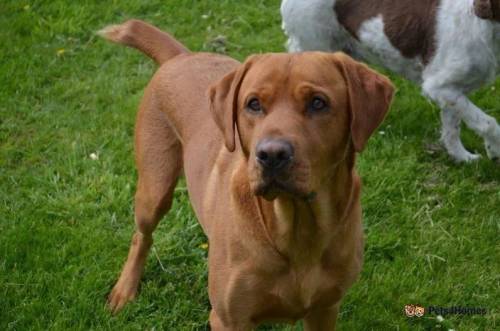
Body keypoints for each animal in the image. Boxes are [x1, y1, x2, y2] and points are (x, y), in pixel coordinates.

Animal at [98, 19, 394, 330]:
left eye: (318, 102)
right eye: (253, 104)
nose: (271, 155)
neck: (296, 229)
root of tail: (182, 56)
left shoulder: (325, 311)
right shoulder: (229, 318)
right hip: (154, 189)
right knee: (141, 237)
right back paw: (125, 290)